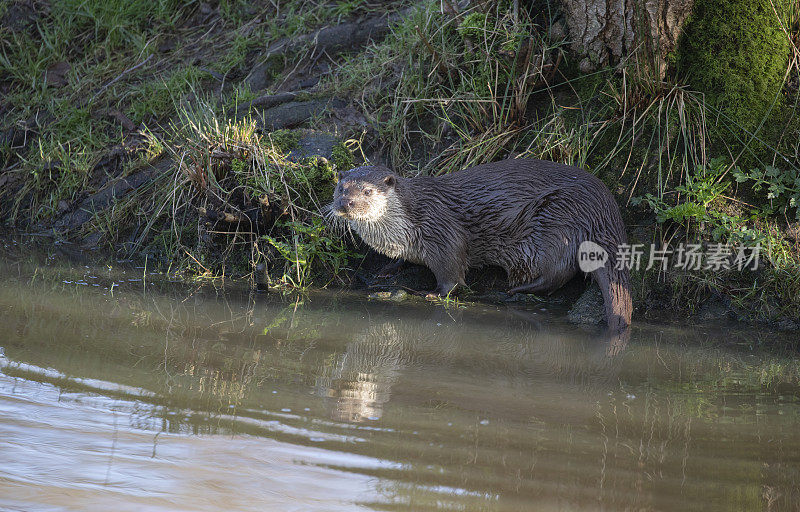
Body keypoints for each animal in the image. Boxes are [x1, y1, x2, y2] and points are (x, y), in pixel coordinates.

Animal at [328, 158, 636, 330]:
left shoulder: (442, 231)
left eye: (368, 191)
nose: (346, 203)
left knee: (558, 273)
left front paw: (434, 294)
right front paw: (385, 271)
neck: (402, 225)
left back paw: (515, 289)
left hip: (554, 223)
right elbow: (400, 259)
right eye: (341, 188)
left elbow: (452, 273)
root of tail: (603, 208)